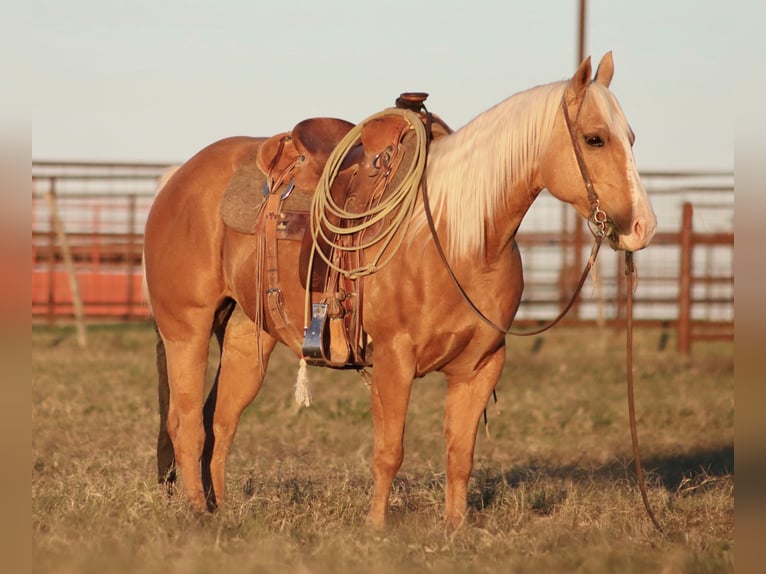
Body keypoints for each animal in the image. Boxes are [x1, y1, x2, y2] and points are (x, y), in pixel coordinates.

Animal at [146, 51, 660, 528]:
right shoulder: (394, 359)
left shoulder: (481, 366)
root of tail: (177, 178)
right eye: (595, 138)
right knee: (187, 424)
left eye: (634, 138)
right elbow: (389, 452)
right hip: (187, 330)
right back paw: (196, 513)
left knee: (221, 422)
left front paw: (454, 530)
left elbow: (459, 456)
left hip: (245, 335)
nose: (643, 226)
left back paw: (220, 512)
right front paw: (376, 529)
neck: (457, 238)